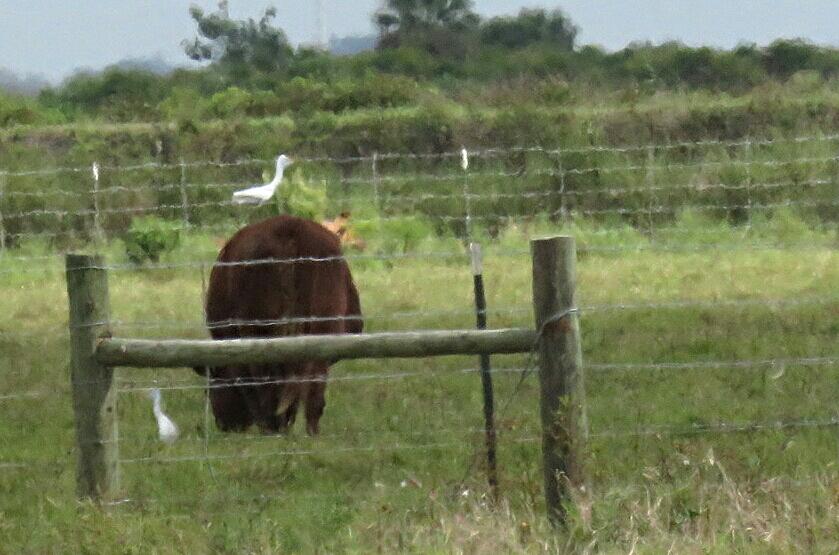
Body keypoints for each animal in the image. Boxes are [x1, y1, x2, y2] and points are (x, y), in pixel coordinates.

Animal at [194, 215, 363, 435]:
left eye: (209, 391)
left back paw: (272, 427)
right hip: (324, 326)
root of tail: (291, 228)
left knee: (267, 385)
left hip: (258, 331)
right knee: (312, 391)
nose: (223, 425)